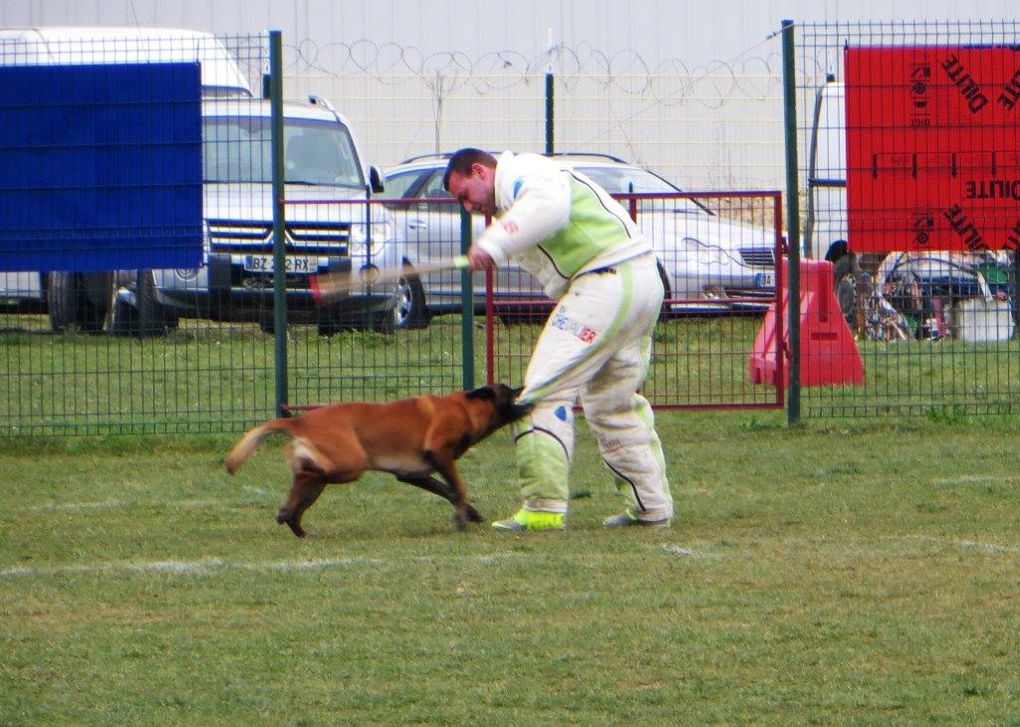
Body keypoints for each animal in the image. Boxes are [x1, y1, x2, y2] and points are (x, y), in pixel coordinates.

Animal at [227, 383, 530, 534]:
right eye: (508, 391)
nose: (525, 389)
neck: (465, 408)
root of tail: (301, 421)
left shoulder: (414, 475)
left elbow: (448, 491)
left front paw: (469, 513)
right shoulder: (440, 454)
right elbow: (458, 487)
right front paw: (462, 520)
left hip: (323, 479)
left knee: (300, 488)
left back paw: (294, 523)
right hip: (350, 466)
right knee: (303, 475)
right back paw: (287, 515)